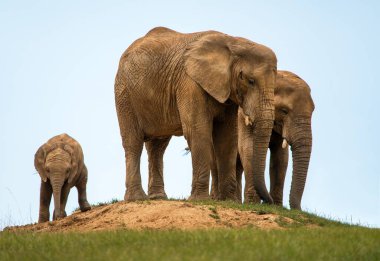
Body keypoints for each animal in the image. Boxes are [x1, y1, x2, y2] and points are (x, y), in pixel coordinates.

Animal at [114, 26, 278, 201]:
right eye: (250, 81)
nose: (270, 202)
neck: (233, 42)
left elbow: (227, 137)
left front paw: (228, 200)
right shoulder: (190, 82)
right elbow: (198, 131)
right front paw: (200, 200)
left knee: (158, 146)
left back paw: (158, 197)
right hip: (124, 93)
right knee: (134, 142)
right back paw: (136, 198)